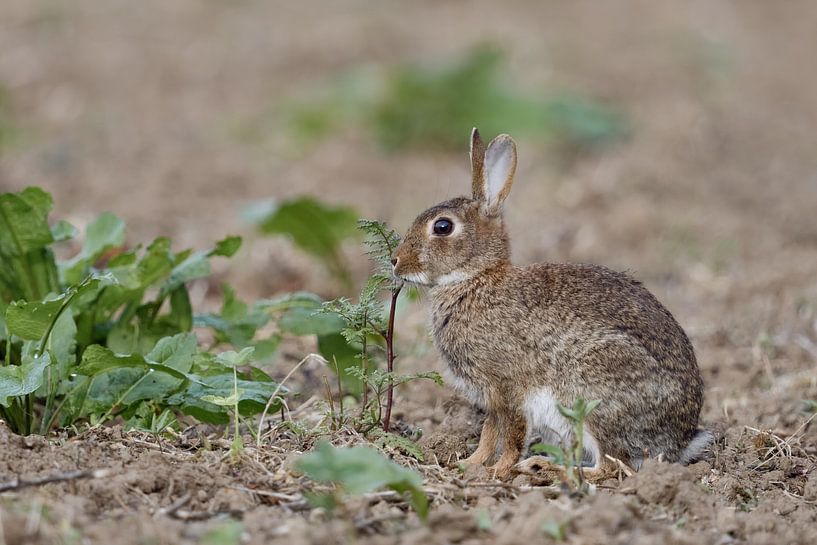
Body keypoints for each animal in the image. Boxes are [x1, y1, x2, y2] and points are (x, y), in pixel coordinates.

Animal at [392, 128, 711, 480]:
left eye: (443, 226)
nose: (396, 261)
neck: (476, 278)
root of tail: (678, 441)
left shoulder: (510, 387)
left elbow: (512, 435)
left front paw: (499, 470)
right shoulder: (492, 399)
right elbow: (489, 433)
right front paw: (470, 464)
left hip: (593, 396)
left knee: (612, 465)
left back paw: (542, 465)